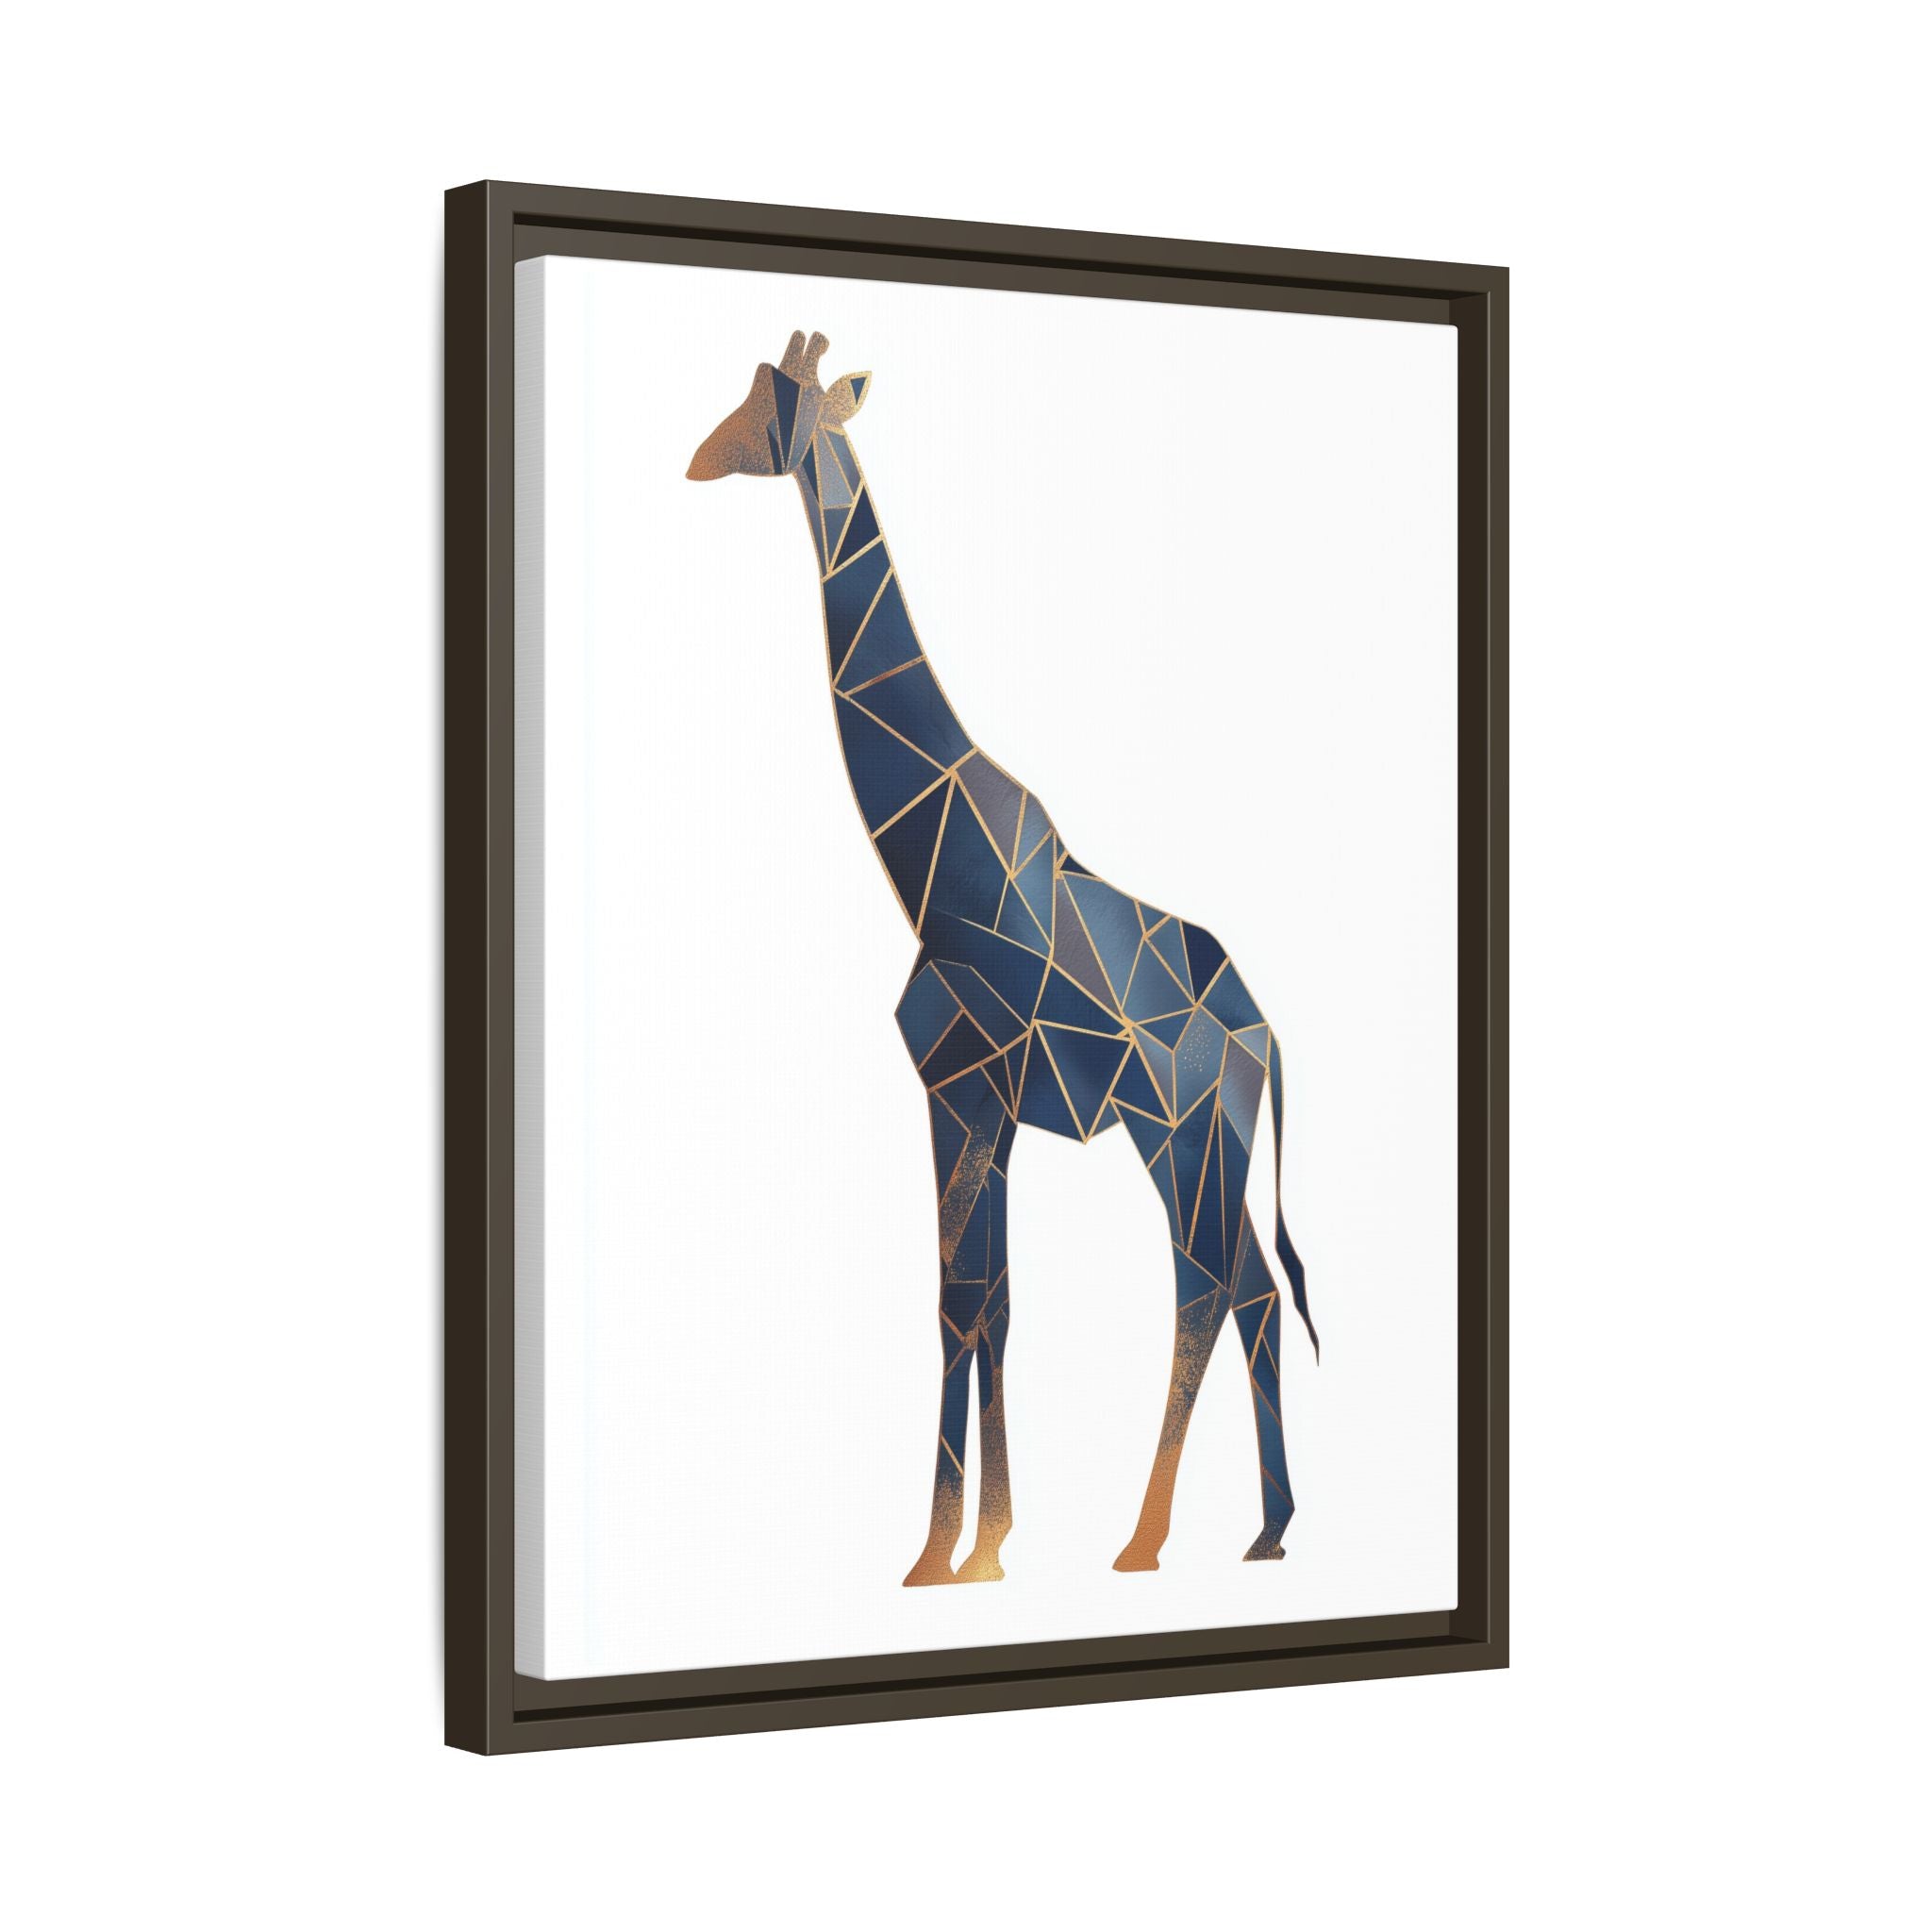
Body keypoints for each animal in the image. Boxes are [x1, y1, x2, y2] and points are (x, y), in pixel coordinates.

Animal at [688, 331, 1318, 1585]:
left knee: (1205, 1285)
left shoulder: (961, 1088)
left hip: (1174, 1130)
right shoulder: (982, 1102)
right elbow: (992, 1302)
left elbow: (957, 1301)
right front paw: (984, 1544)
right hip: (1209, 1138)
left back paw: (1145, 1538)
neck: (934, 869)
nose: (697, 457)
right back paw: (1265, 1530)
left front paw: (941, 1552)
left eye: (774, 405)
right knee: (1254, 1290)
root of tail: (1264, 1035)